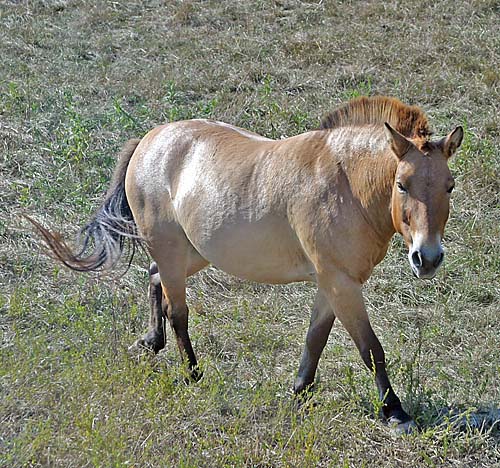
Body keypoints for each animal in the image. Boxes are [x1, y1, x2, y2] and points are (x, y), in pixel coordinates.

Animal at [29, 96, 462, 436]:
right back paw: (192, 373)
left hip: (191, 254)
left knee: (155, 280)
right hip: (173, 253)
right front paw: (396, 412)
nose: (427, 258)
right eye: (402, 184)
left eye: (449, 185)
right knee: (178, 311)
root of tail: (149, 140)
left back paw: (152, 341)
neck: (345, 182)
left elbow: (315, 339)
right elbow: (371, 348)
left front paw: (300, 390)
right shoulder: (341, 284)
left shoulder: (330, 284)